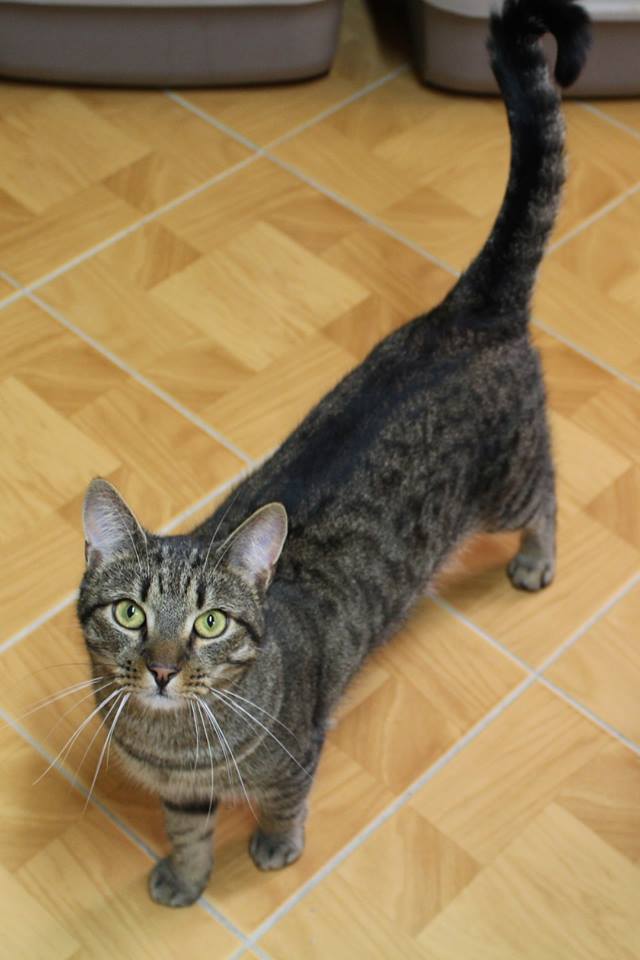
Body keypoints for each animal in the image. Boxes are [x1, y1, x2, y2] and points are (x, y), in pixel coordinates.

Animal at [77, 0, 590, 908]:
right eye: (130, 614)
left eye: (209, 623)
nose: (164, 670)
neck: (173, 741)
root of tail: (471, 309)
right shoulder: (181, 791)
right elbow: (188, 832)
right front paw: (185, 878)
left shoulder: (296, 756)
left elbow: (285, 802)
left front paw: (274, 849)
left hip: (507, 484)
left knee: (550, 491)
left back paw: (537, 560)